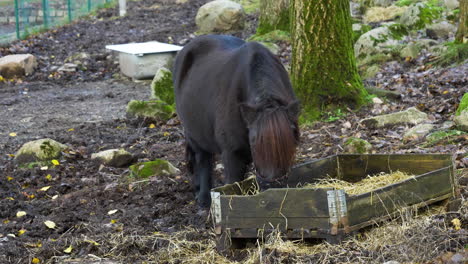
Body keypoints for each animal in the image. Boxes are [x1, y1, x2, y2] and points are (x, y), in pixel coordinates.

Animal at [173, 35, 300, 207]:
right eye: (254, 139)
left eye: (290, 136)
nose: (273, 180)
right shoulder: (231, 153)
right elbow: (233, 184)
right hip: (195, 134)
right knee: (202, 159)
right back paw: (204, 198)